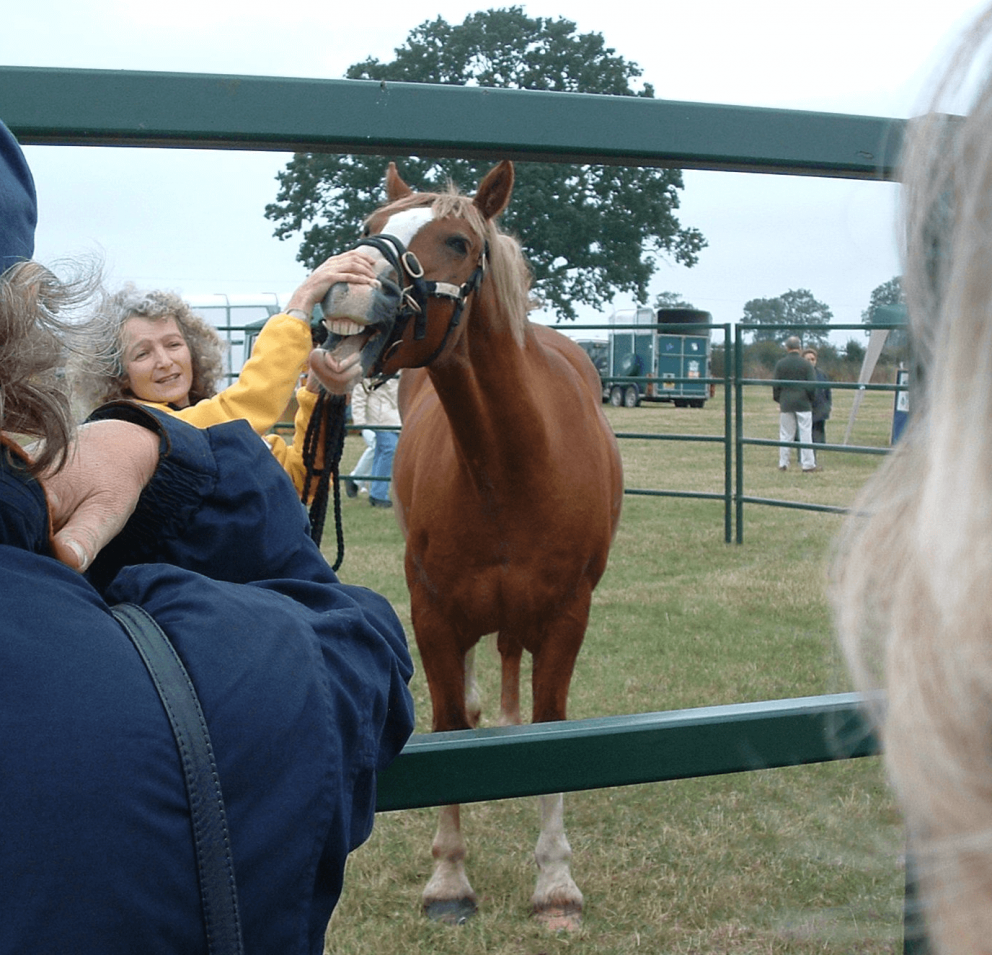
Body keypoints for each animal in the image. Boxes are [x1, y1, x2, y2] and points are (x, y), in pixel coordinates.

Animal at [320, 160, 624, 930]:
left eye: (457, 241)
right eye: (370, 227)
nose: (345, 286)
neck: (510, 464)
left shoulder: (567, 616)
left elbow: (551, 728)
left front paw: (555, 883)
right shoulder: (432, 614)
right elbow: (452, 724)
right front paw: (449, 880)